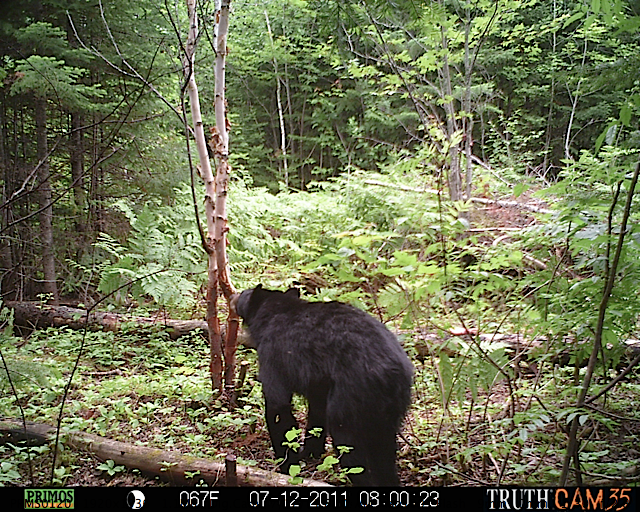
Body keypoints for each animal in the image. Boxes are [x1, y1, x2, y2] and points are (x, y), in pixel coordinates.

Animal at [232, 286, 412, 486]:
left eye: (244, 294)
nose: (233, 295)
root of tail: (392, 370)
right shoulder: (319, 382)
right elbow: (317, 412)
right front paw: (310, 452)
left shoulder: (273, 356)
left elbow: (278, 409)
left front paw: (287, 465)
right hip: (390, 409)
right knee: (384, 451)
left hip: (352, 397)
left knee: (350, 446)